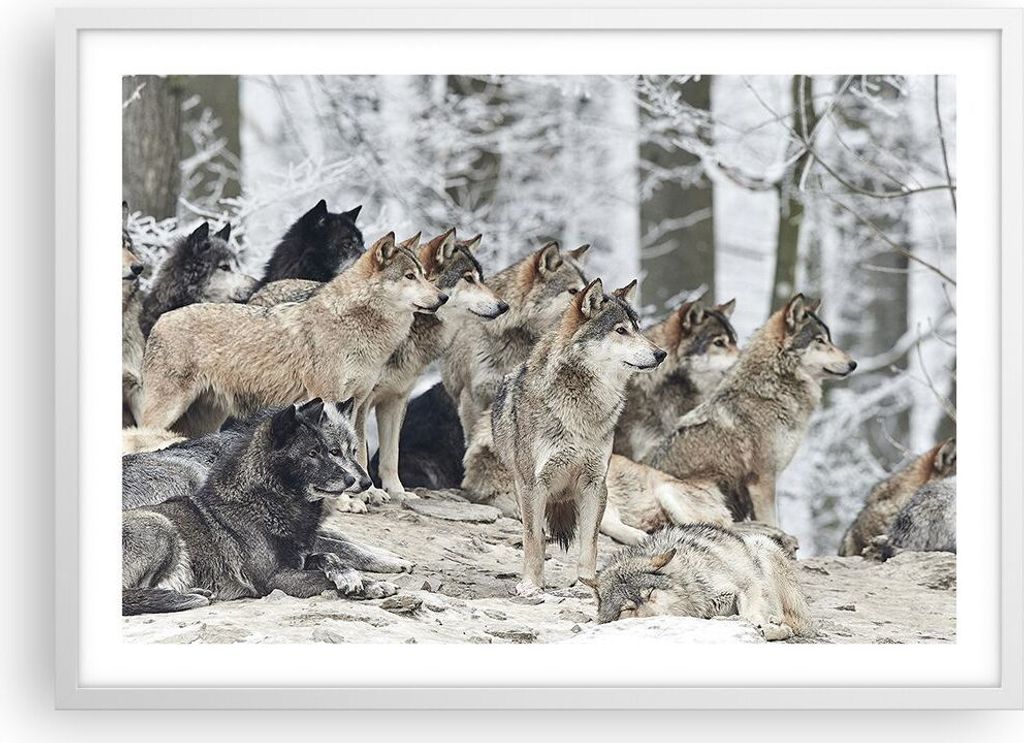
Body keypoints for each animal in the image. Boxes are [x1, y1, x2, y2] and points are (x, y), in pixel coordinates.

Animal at [122, 398, 400, 616]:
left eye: (352, 451)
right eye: (319, 453)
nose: (361, 481)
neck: (267, 504)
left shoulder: (300, 556)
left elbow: (329, 554)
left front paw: (354, 574)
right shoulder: (277, 578)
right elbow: (327, 568)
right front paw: (373, 580)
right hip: (160, 523)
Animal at [139, 233, 447, 445]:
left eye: (425, 276)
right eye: (409, 276)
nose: (443, 297)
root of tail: (160, 320)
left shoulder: (357, 402)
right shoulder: (328, 398)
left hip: (206, 419)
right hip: (167, 412)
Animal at [491, 278, 666, 597]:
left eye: (638, 328)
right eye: (621, 330)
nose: (661, 354)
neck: (581, 408)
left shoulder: (594, 485)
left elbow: (590, 545)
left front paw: (586, 584)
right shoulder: (533, 486)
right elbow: (533, 540)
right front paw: (531, 585)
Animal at [584, 524, 810, 640]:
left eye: (650, 593)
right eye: (627, 609)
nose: (654, 619)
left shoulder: (746, 584)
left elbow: (751, 614)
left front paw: (764, 626)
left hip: (760, 544)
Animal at [645, 294, 857, 525]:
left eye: (829, 339)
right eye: (820, 340)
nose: (853, 364)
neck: (772, 390)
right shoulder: (762, 482)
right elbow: (774, 523)